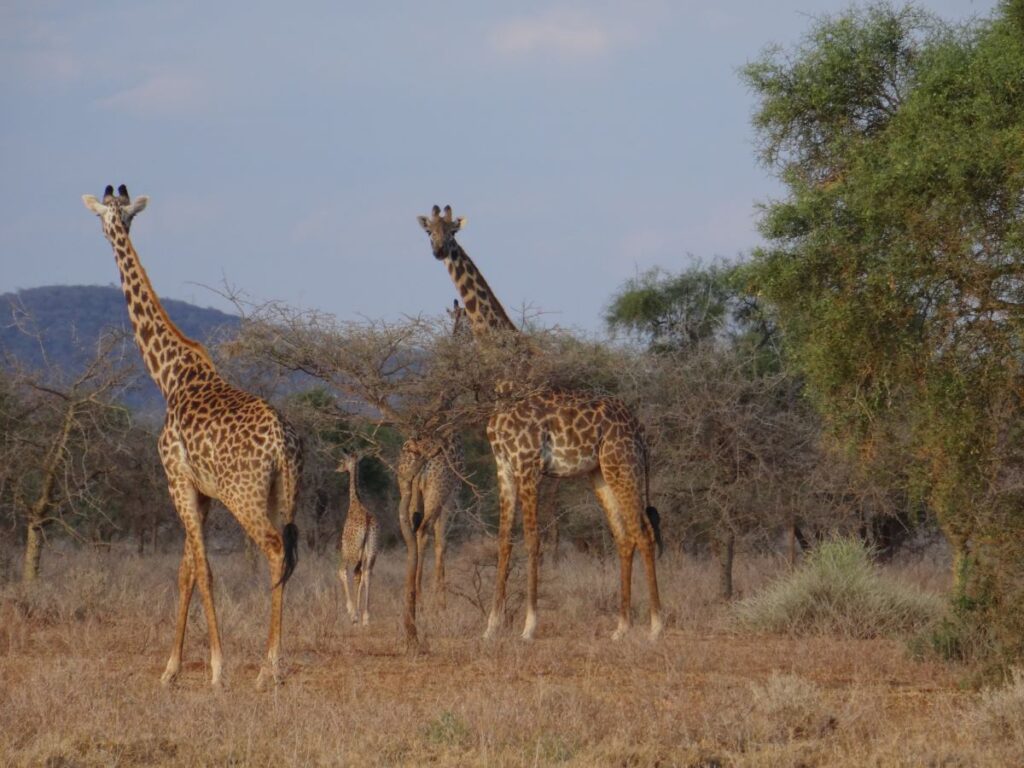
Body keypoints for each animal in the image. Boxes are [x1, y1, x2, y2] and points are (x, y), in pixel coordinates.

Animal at [82, 185, 302, 688]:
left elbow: (203, 570)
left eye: (107, 216)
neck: (170, 376)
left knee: (275, 549)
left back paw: (267, 667)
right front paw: (170, 669)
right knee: (289, 553)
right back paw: (273, 663)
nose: (108, 231)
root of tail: (283, 443)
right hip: (285, 492)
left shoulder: (176, 480)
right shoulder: (199, 491)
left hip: (244, 496)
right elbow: (185, 571)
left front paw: (217, 669)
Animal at [417, 205, 663, 641]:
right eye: (429, 231)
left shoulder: (529, 463)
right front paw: (492, 625)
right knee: (623, 537)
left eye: (452, 230)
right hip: (599, 474)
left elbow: (532, 540)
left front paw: (529, 624)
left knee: (643, 532)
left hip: (624, 467)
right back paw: (620, 627)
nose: (439, 250)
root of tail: (639, 431)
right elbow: (503, 541)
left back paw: (655, 625)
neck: (505, 377)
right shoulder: (503, 465)